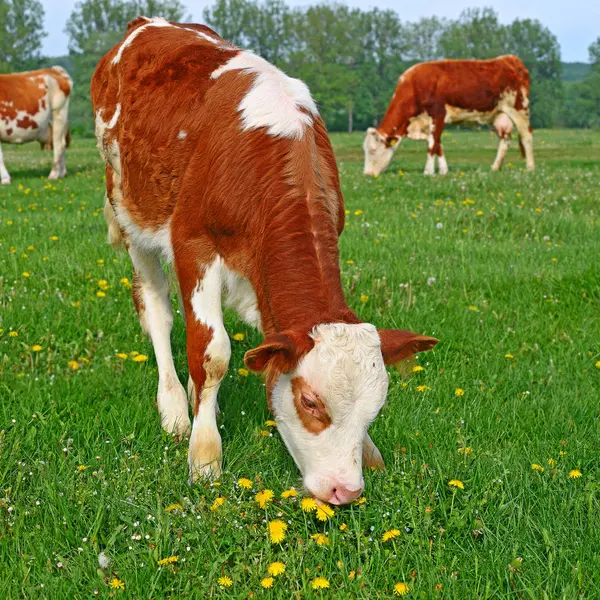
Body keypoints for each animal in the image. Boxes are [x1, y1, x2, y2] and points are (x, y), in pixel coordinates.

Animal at [91, 16, 438, 504]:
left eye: (375, 409)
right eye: (310, 402)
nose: (345, 491)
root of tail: (148, 22)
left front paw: (369, 451)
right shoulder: (193, 244)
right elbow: (211, 352)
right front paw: (204, 456)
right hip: (130, 215)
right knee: (156, 311)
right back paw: (175, 408)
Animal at [364, 55, 536, 177]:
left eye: (372, 150)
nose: (367, 174)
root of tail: (509, 59)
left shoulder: (438, 115)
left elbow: (432, 146)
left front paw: (428, 172)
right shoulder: (431, 123)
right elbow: (438, 145)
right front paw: (443, 171)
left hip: (520, 109)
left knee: (526, 136)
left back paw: (530, 168)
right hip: (500, 115)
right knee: (504, 140)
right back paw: (494, 168)